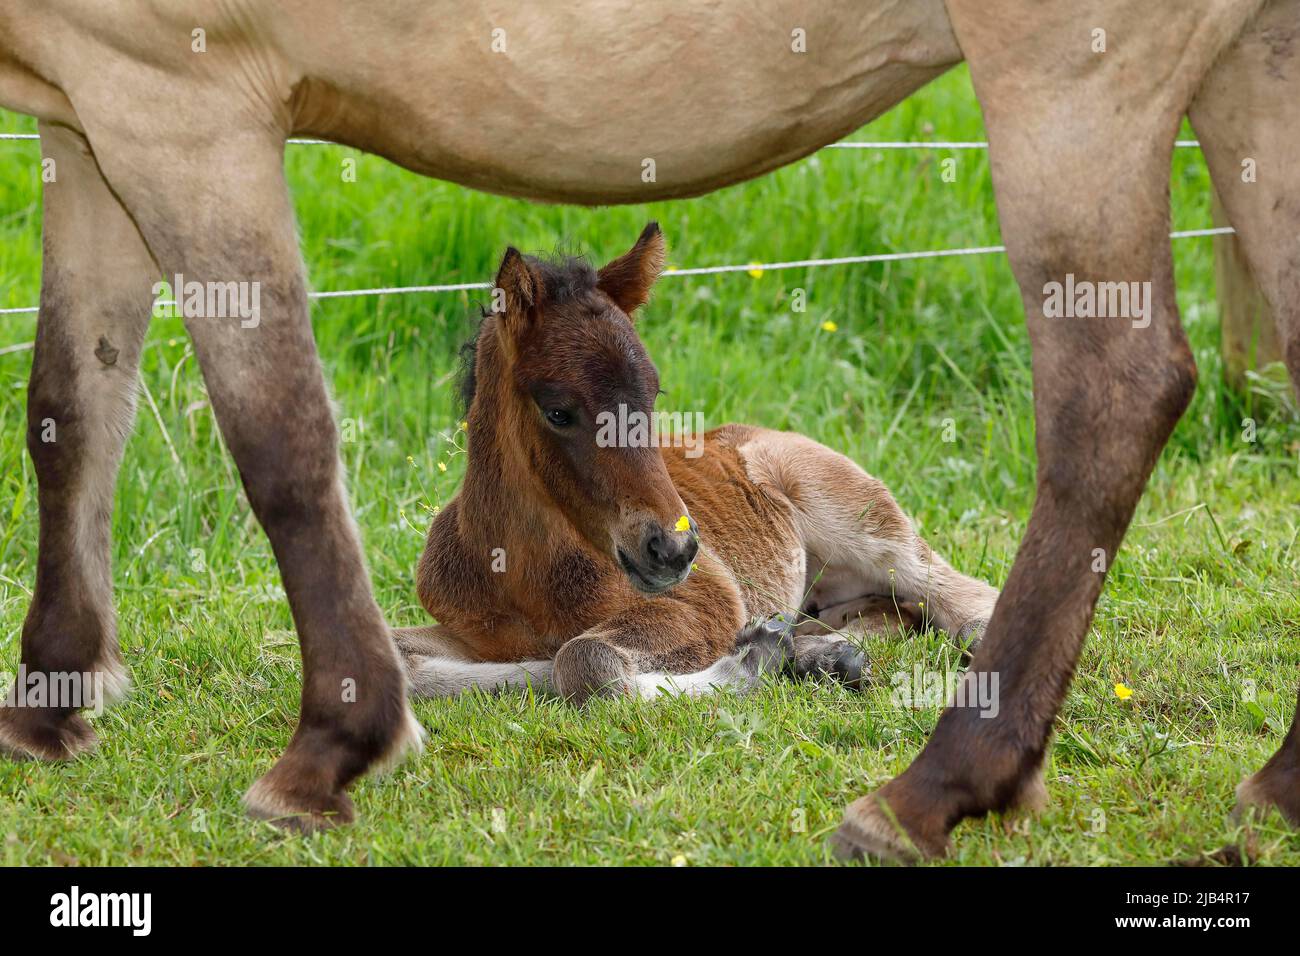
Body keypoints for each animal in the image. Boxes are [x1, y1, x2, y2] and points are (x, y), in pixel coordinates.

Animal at [395, 223, 993, 702]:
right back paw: (824, 654)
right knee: (896, 614)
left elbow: (584, 660)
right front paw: (776, 652)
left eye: (653, 395)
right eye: (558, 412)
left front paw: (750, 662)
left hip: (860, 516)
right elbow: (408, 666)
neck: (522, 576)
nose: (674, 549)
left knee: (957, 598)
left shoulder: (705, 600)